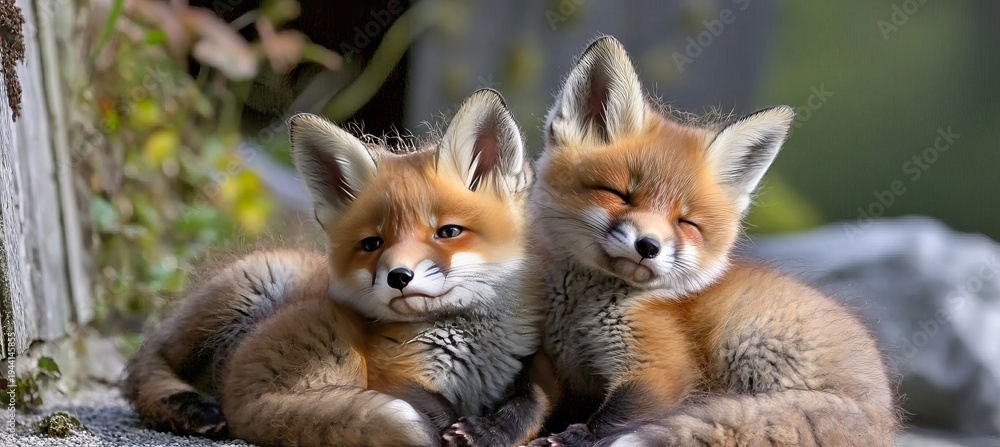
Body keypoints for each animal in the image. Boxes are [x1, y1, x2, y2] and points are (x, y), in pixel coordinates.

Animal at [123, 89, 554, 447]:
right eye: (372, 244)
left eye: (448, 232)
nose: (399, 277)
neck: (472, 347)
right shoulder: (389, 376)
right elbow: (435, 410)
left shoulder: (529, 366)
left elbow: (532, 404)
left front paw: (491, 430)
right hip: (256, 287)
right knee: (143, 367)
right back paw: (188, 405)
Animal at [525, 36, 899, 447]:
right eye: (619, 195)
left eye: (686, 223)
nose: (648, 247)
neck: (577, 313)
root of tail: (881, 416)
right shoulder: (559, 368)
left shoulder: (661, 369)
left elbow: (613, 418)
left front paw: (572, 437)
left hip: (746, 342)